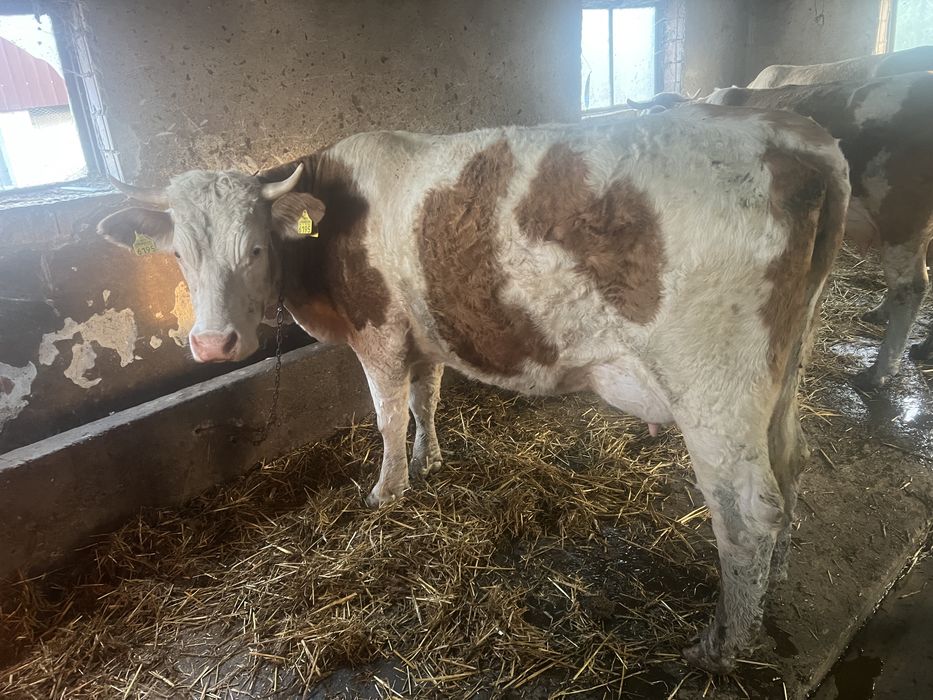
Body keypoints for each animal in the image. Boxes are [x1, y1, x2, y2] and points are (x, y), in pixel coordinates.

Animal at [98, 106, 849, 673]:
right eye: (178, 254)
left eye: (254, 248)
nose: (212, 345)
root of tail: (795, 137)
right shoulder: (422, 336)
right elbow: (425, 399)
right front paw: (431, 461)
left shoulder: (378, 333)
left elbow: (386, 415)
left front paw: (387, 492)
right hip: (783, 365)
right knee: (792, 463)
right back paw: (775, 581)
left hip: (713, 382)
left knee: (746, 512)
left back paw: (721, 645)